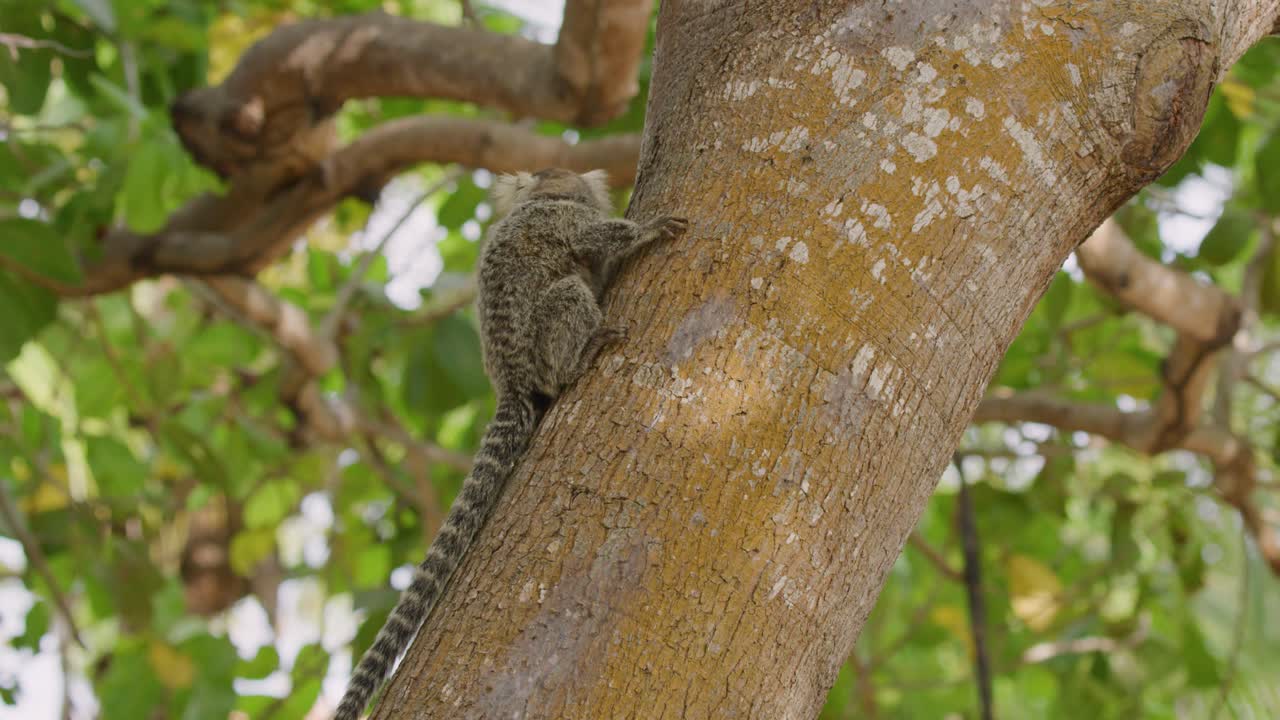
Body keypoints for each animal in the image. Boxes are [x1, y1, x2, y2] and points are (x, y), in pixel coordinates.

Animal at [333, 168, 688, 720]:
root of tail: (511, 381)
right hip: (543, 343)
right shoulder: (562, 219)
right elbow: (597, 237)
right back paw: (577, 360)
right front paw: (647, 229)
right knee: (567, 295)